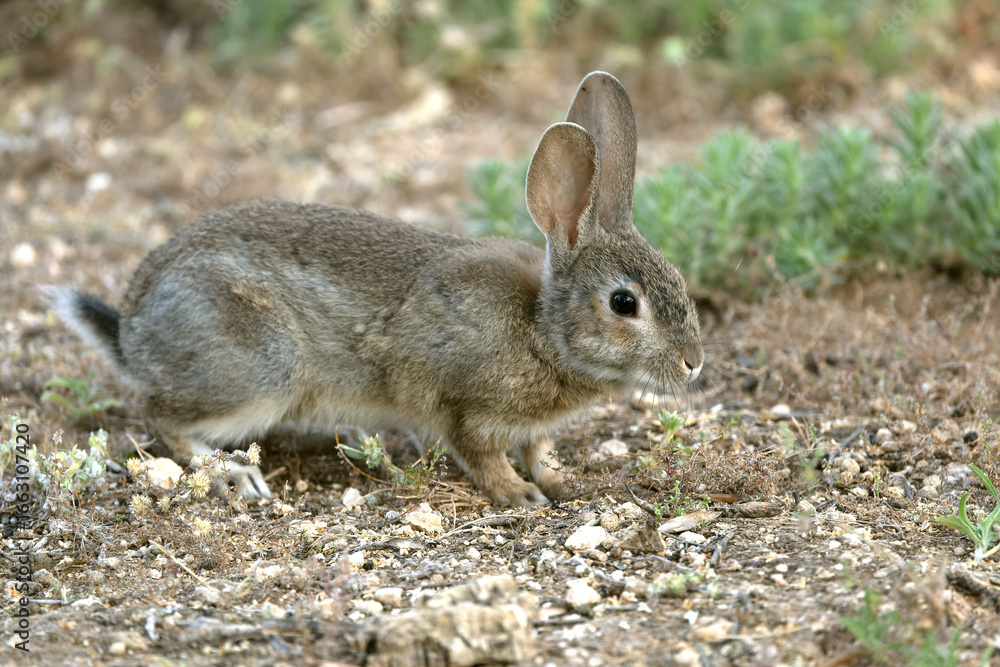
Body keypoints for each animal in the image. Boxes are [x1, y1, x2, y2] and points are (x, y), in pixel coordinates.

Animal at [50, 71, 704, 506]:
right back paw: (231, 474)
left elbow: (538, 449)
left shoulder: (530, 425)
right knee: (160, 418)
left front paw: (560, 479)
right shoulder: (462, 406)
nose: (694, 363)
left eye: (678, 279)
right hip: (258, 369)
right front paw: (519, 495)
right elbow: (483, 455)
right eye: (624, 303)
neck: (541, 328)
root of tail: (133, 332)